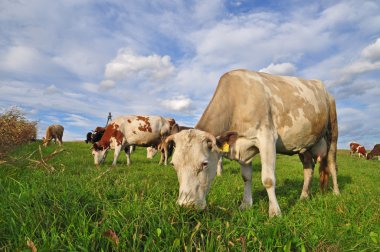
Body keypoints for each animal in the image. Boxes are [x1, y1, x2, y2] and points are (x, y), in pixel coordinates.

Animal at [165, 69, 340, 217]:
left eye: (204, 164)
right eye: (173, 164)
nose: (186, 205)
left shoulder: (267, 138)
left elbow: (268, 179)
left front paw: (275, 213)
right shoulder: (243, 148)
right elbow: (246, 177)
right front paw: (246, 205)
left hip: (332, 131)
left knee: (332, 164)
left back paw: (336, 193)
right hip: (304, 145)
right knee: (308, 168)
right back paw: (303, 196)